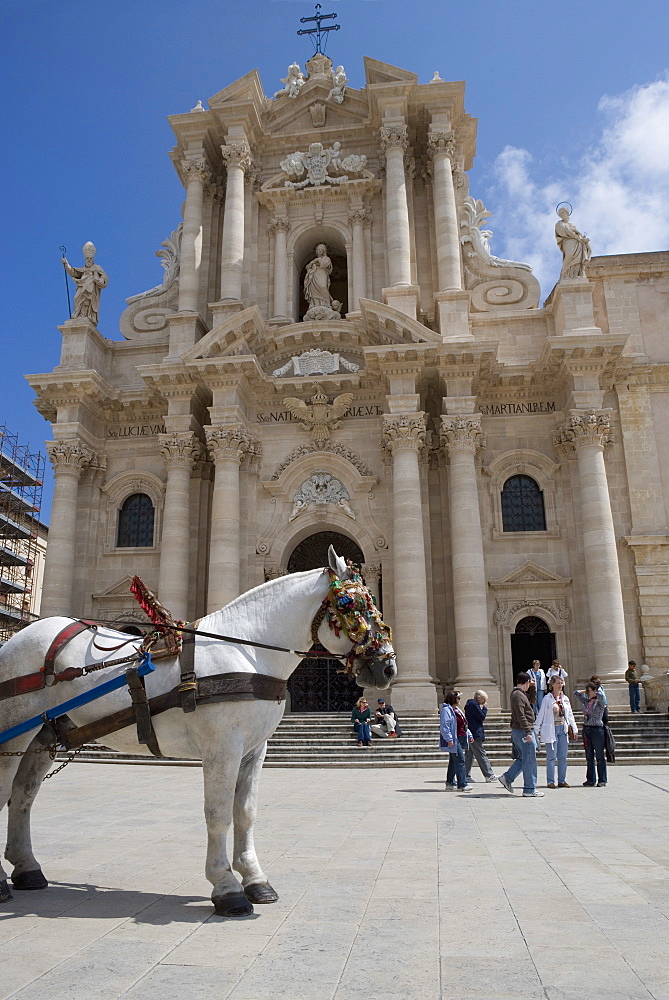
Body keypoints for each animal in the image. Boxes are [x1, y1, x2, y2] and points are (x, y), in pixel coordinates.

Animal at [0, 552, 396, 916]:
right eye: (350, 605)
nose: (388, 668)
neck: (246, 649)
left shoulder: (255, 750)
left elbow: (246, 812)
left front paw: (255, 880)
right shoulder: (223, 749)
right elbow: (218, 813)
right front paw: (227, 887)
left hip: (45, 735)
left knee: (23, 795)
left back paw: (27, 869)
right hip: (14, 730)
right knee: (7, 790)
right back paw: (4, 883)